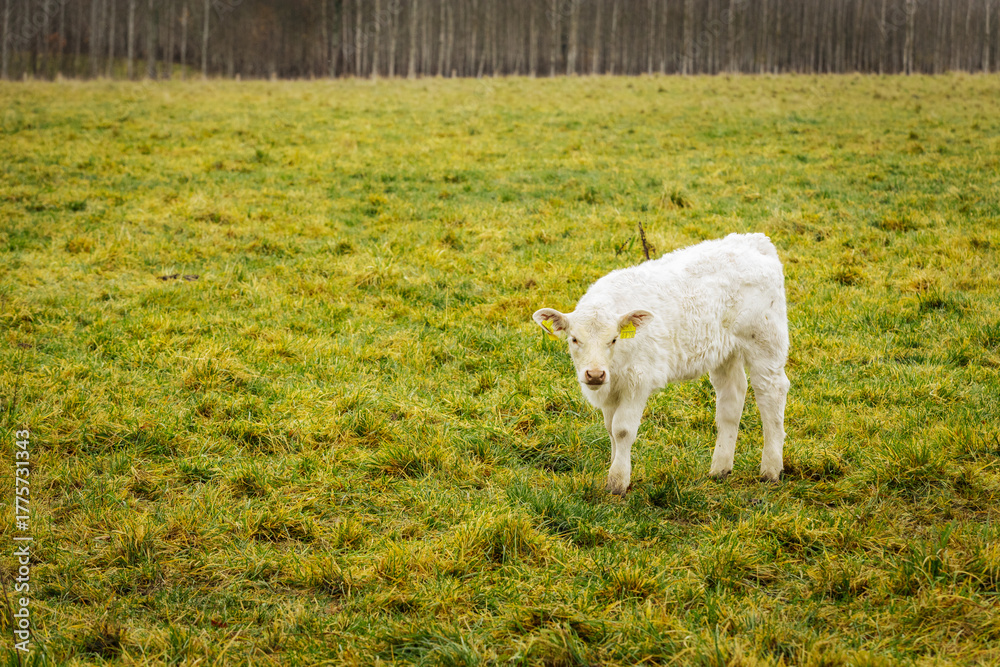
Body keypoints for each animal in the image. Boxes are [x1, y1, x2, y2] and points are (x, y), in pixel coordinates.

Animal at [532, 233, 790, 495]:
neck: (614, 367)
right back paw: (720, 469)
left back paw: (770, 470)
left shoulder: (637, 381)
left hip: (766, 342)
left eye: (613, 339)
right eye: (574, 339)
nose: (594, 374)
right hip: (725, 352)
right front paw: (615, 470)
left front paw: (618, 481)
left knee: (772, 393)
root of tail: (753, 240)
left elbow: (622, 430)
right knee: (731, 400)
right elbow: (610, 429)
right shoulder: (612, 389)